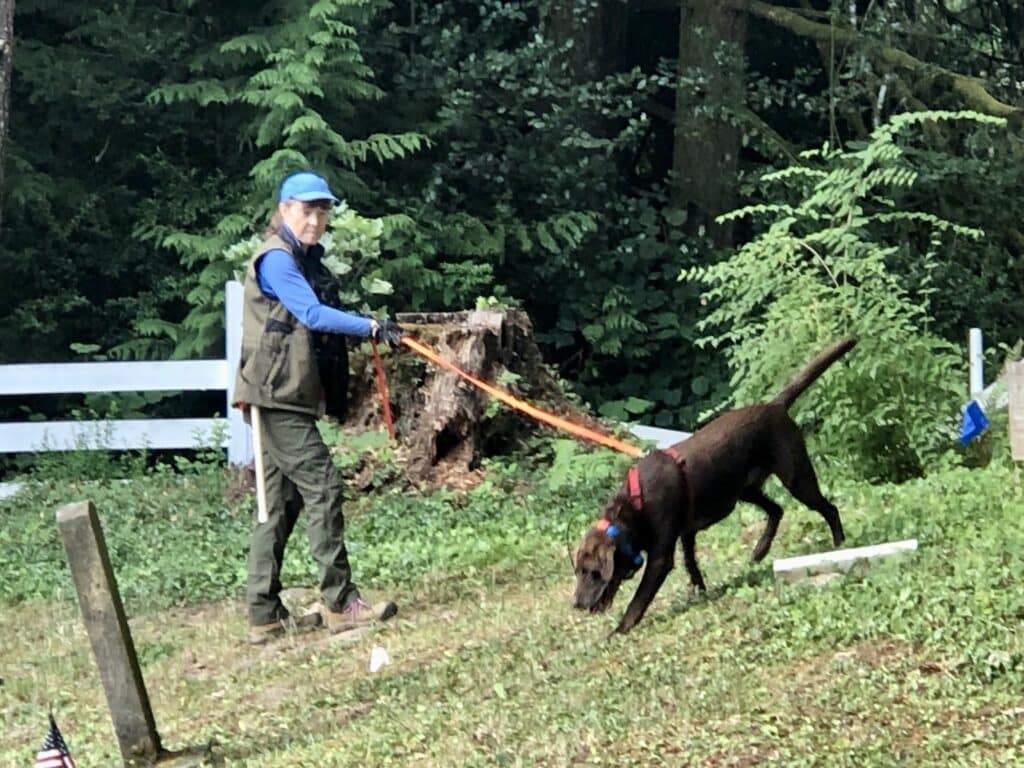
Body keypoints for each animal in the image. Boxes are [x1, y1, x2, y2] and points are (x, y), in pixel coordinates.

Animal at [573, 339, 851, 634]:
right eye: (578, 571)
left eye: (593, 572)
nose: (576, 604)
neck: (634, 506)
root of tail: (774, 406)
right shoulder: (686, 533)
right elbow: (691, 563)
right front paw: (700, 590)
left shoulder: (660, 557)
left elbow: (638, 600)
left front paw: (619, 630)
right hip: (745, 491)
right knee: (777, 510)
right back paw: (760, 550)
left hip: (796, 479)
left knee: (828, 508)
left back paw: (839, 544)